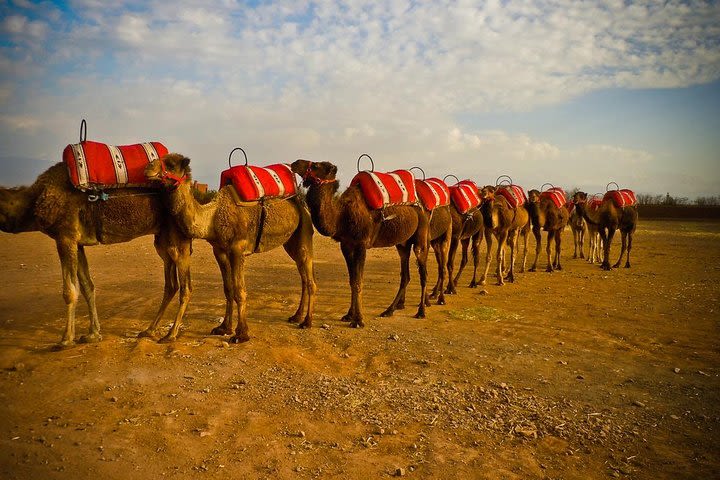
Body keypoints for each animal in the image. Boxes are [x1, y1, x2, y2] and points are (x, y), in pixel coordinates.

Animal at [0, 163, 191, 346]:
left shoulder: (65, 237)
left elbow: (69, 291)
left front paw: (66, 339)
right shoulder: (77, 244)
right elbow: (87, 286)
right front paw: (93, 334)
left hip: (177, 238)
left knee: (185, 287)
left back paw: (171, 335)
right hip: (163, 241)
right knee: (171, 284)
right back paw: (149, 330)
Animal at [145, 154, 316, 342]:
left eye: (171, 164)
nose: (148, 168)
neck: (212, 217)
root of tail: (300, 204)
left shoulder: (237, 249)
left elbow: (240, 291)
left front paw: (241, 334)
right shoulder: (219, 250)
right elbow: (228, 289)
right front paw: (224, 328)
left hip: (305, 229)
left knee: (310, 279)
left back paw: (307, 322)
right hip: (290, 241)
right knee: (303, 276)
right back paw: (296, 316)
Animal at [292, 158, 430, 326]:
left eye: (316, 165)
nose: (295, 163)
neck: (341, 216)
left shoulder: (361, 244)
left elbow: (358, 281)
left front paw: (358, 320)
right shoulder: (346, 245)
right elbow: (352, 281)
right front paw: (349, 315)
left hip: (421, 236)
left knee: (423, 273)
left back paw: (421, 311)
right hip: (402, 244)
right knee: (405, 275)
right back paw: (388, 310)